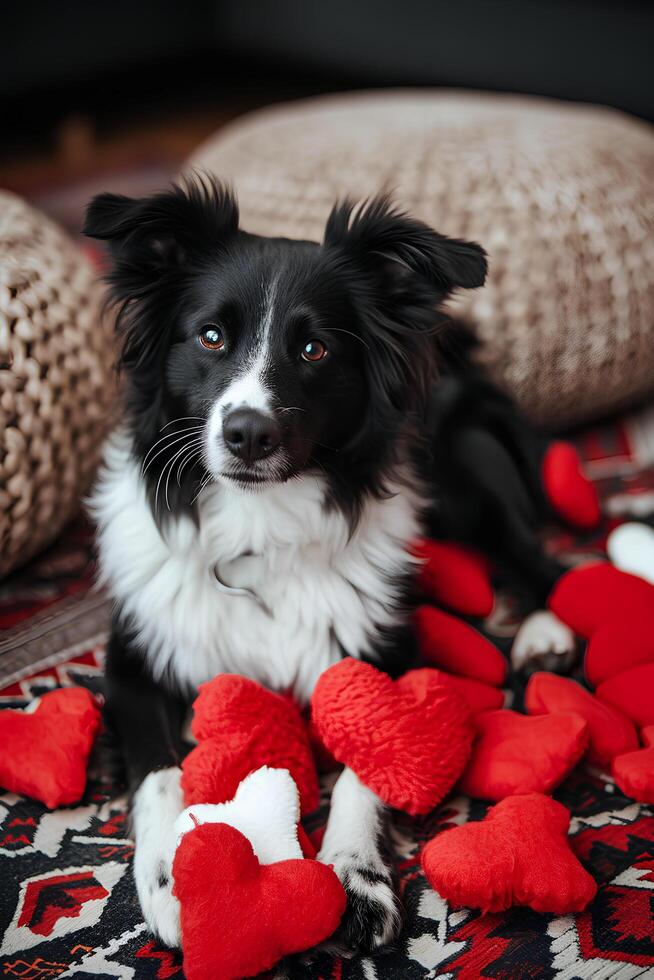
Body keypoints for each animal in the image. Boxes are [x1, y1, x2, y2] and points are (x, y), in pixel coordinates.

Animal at [83, 174, 580, 948]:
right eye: (210, 336)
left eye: (314, 349)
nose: (247, 433)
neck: (257, 531)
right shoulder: (134, 663)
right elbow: (160, 771)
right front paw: (171, 879)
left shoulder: (383, 656)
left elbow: (364, 770)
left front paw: (354, 876)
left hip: (467, 476)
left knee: (537, 556)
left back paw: (541, 634)